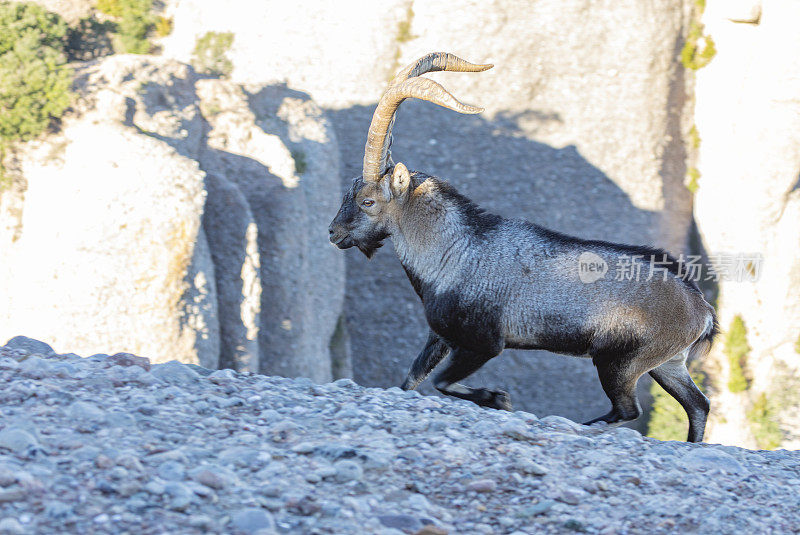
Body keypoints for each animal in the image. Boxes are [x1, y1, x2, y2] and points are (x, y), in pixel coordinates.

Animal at [328, 52, 716, 442]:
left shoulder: (483, 343)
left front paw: (498, 398)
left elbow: (442, 382)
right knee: (698, 405)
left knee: (628, 409)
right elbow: (411, 380)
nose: (333, 232)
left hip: (620, 362)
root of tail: (701, 309)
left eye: (367, 201)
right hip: (666, 364)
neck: (453, 250)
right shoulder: (441, 337)